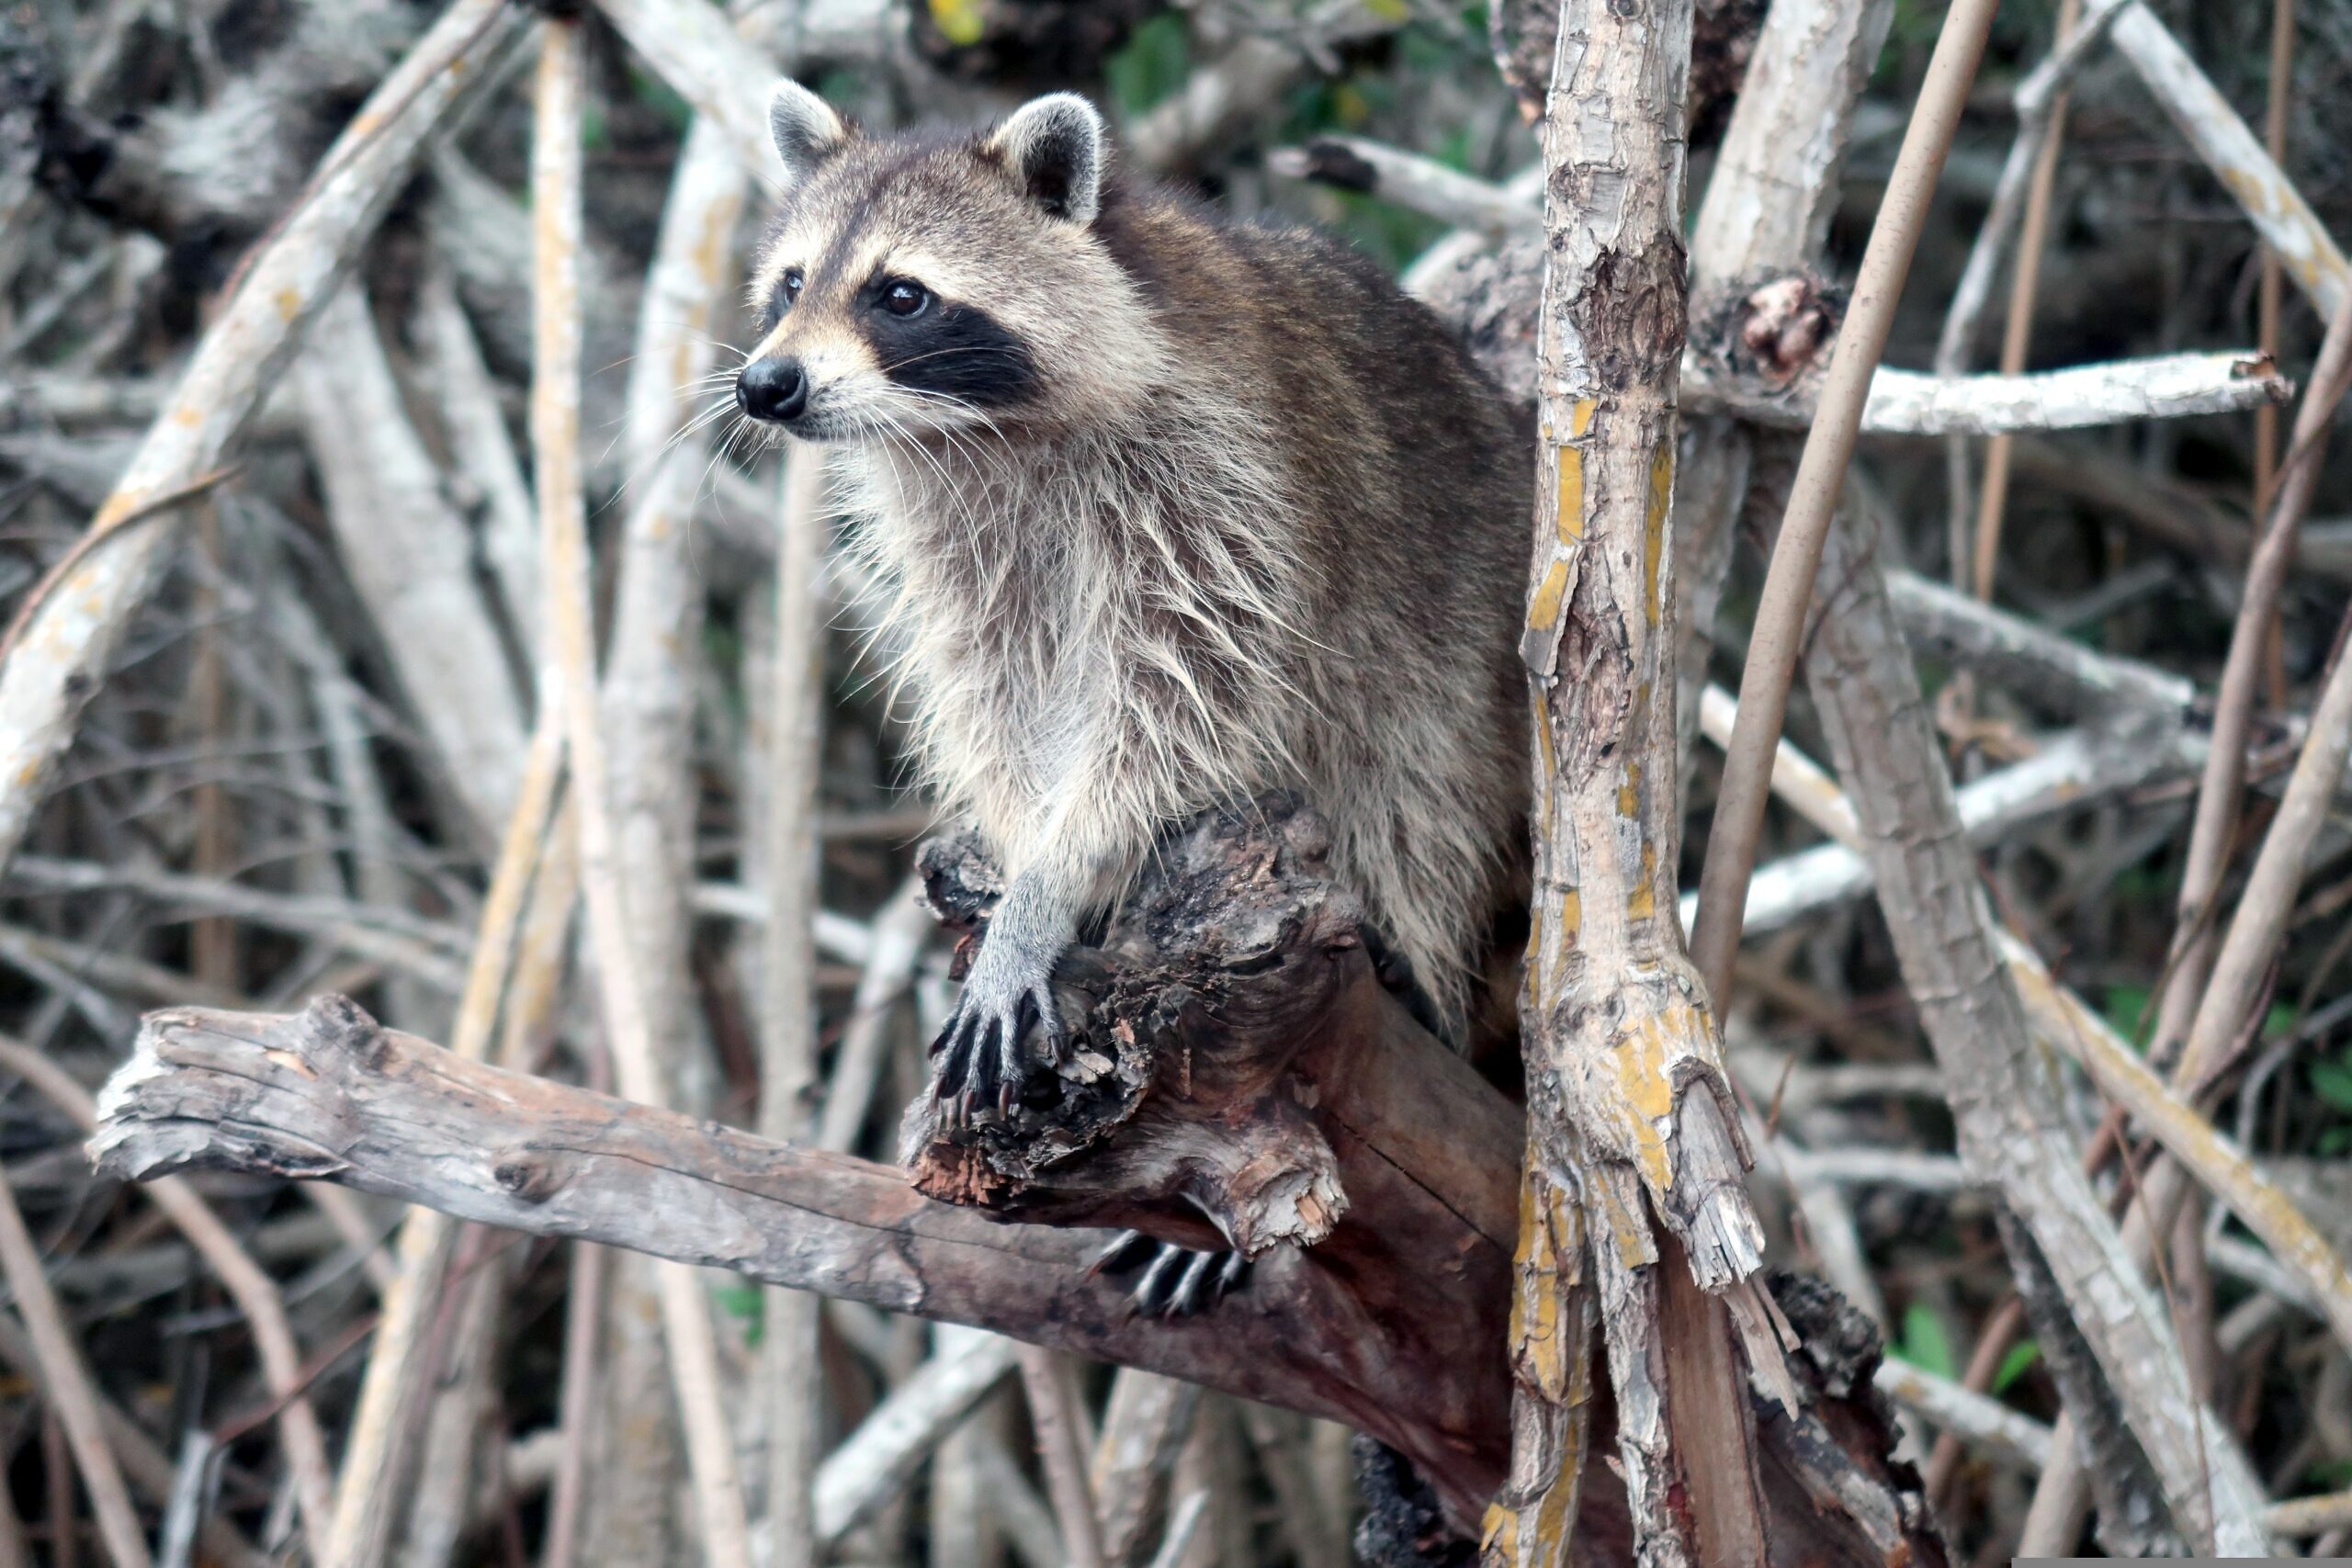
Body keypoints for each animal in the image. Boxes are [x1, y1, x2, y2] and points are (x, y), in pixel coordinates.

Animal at [738, 84, 1531, 1120]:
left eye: (899, 295)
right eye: (792, 284)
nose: (764, 384)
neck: (984, 432)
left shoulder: (1216, 488)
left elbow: (1181, 700)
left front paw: (1052, 881)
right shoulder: (962, 540)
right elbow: (998, 690)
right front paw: (1023, 851)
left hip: (1458, 626)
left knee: (1414, 781)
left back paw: (1417, 965)